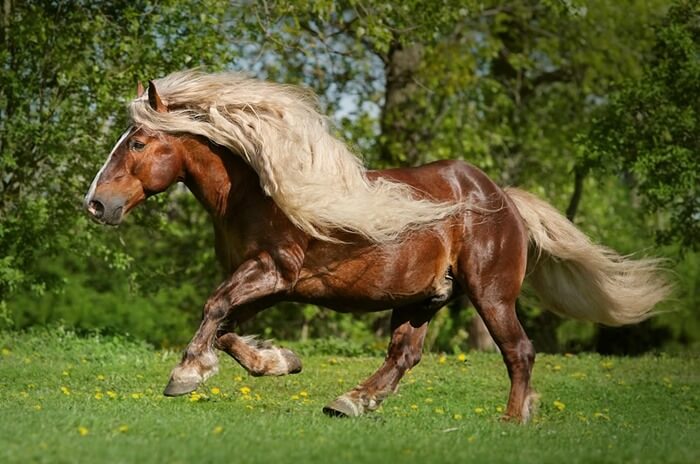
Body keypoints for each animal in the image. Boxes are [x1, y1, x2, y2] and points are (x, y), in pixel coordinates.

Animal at [84, 71, 669, 422]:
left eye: (138, 143)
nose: (95, 204)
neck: (255, 193)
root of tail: (501, 198)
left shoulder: (272, 271)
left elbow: (214, 308)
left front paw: (185, 374)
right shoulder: (270, 285)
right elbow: (226, 327)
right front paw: (280, 361)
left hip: (491, 292)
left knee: (518, 349)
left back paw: (511, 419)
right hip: (422, 298)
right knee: (404, 354)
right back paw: (350, 401)